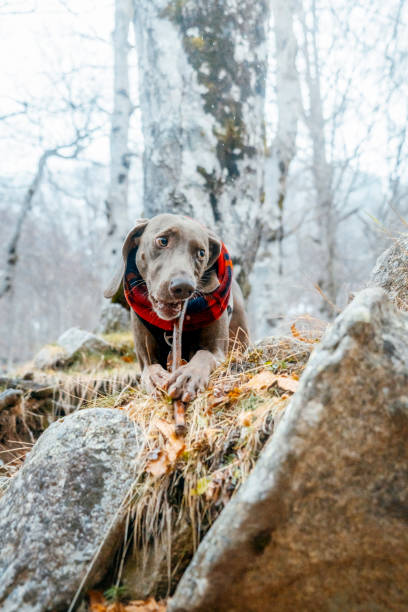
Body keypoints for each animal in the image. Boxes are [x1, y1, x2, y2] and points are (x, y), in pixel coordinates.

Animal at [104, 214, 249, 402]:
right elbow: (150, 370)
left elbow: (204, 355)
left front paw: (188, 378)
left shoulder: (217, 352)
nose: (183, 287)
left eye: (201, 253)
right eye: (163, 241)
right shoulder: (145, 360)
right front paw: (157, 379)